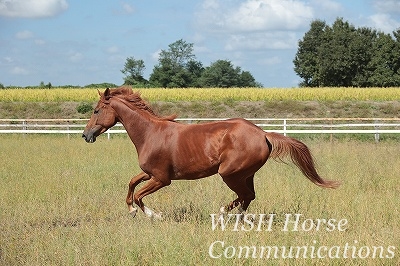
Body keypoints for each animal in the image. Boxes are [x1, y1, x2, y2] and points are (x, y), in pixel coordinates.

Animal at [83, 86, 340, 219]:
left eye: (96, 110)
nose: (86, 135)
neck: (151, 133)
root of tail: (263, 134)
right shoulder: (150, 173)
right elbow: (131, 183)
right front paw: (130, 209)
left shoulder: (162, 179)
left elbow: (138, 194)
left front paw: (153, 214)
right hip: (246, 174)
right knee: (249, 197)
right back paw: (237, 218)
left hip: (230, 174)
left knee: (245, 196)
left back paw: (224, 213)